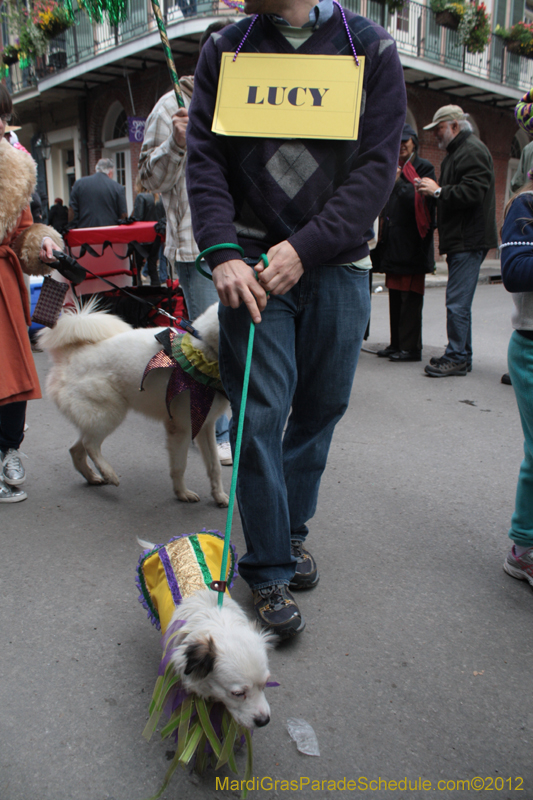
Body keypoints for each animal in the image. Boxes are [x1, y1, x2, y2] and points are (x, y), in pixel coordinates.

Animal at [37, 300, 229, 506]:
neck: (203, 349)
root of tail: (71, 355)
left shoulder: (205, 425)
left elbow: (214, 466)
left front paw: (219, 496)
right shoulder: (181, 428)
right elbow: (179, 466)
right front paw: (182, 493)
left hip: (95, 419)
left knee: (76, 450)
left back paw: (93, 477)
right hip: (110, 414)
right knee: (90, 445)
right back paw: (109, 474)